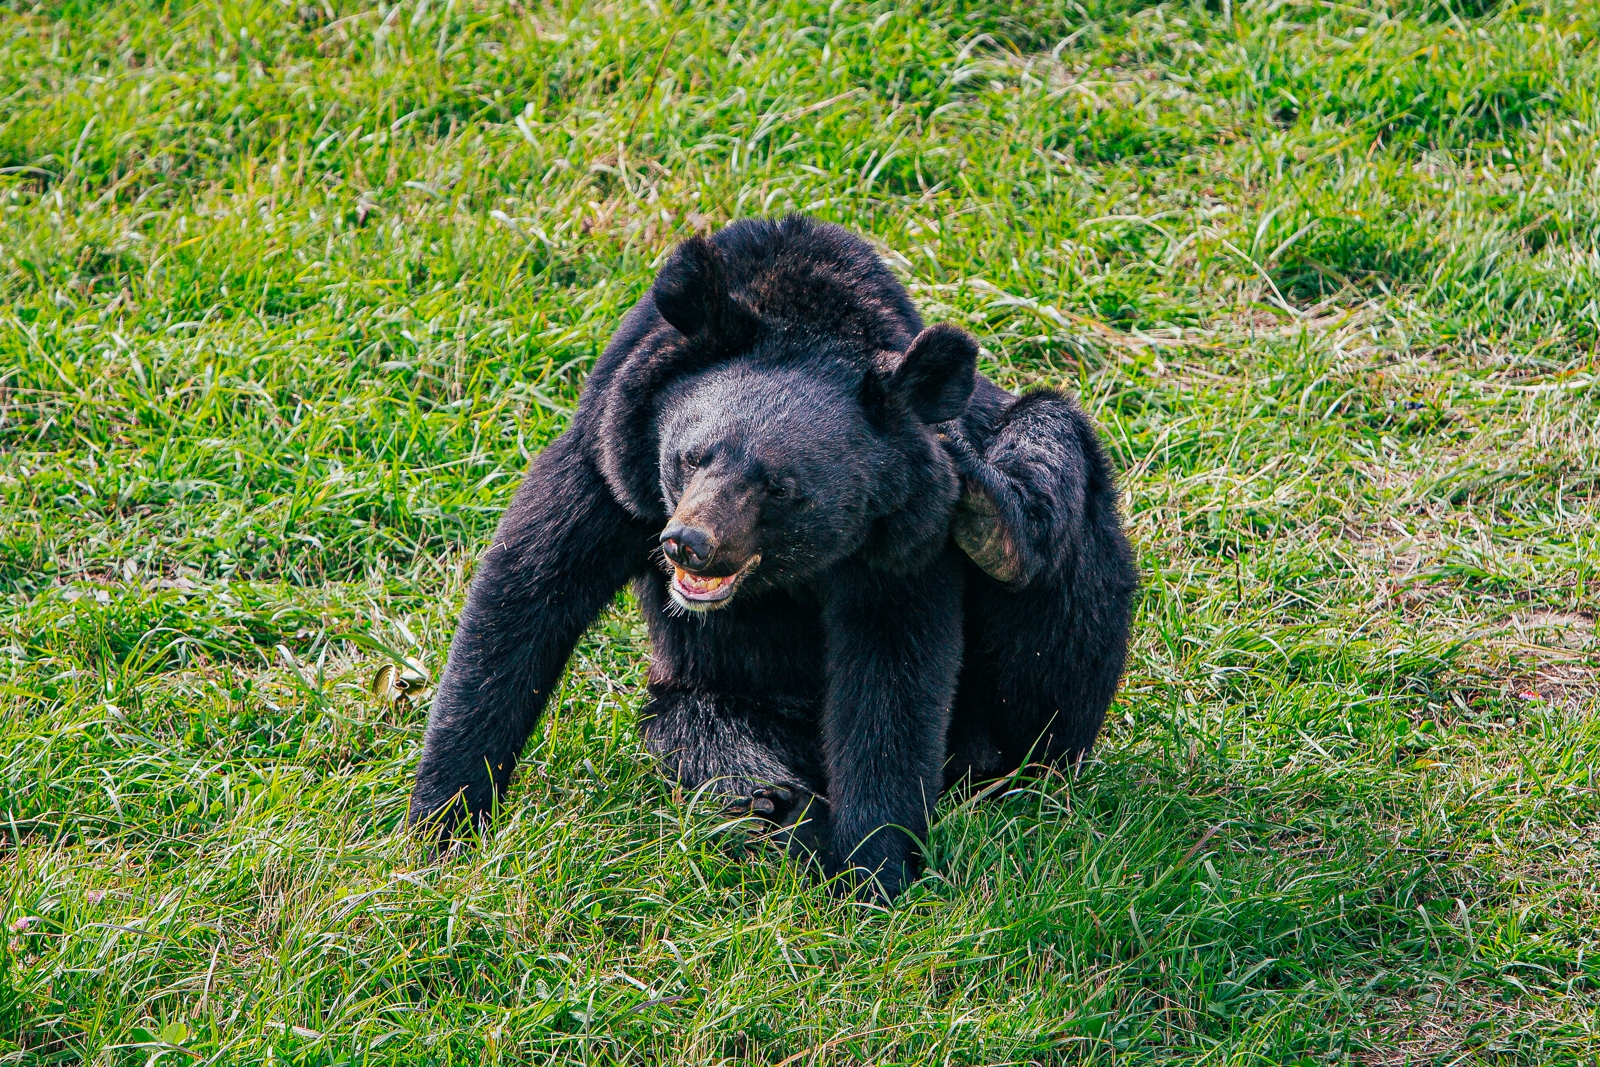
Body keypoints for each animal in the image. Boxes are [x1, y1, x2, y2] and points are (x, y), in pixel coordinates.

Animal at [408, 215, 1137, 901]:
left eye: (781, 487)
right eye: (691, 456)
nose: (688, 542)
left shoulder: (907, 533)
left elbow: (894, 677)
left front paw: (876, 875)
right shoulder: (609, 464)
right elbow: (526, 593)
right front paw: (439, 831)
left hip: (1047, 673)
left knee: (1053, 452)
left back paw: (997, 529)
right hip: (716, 695)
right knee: (709, 741)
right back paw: (776, 807)